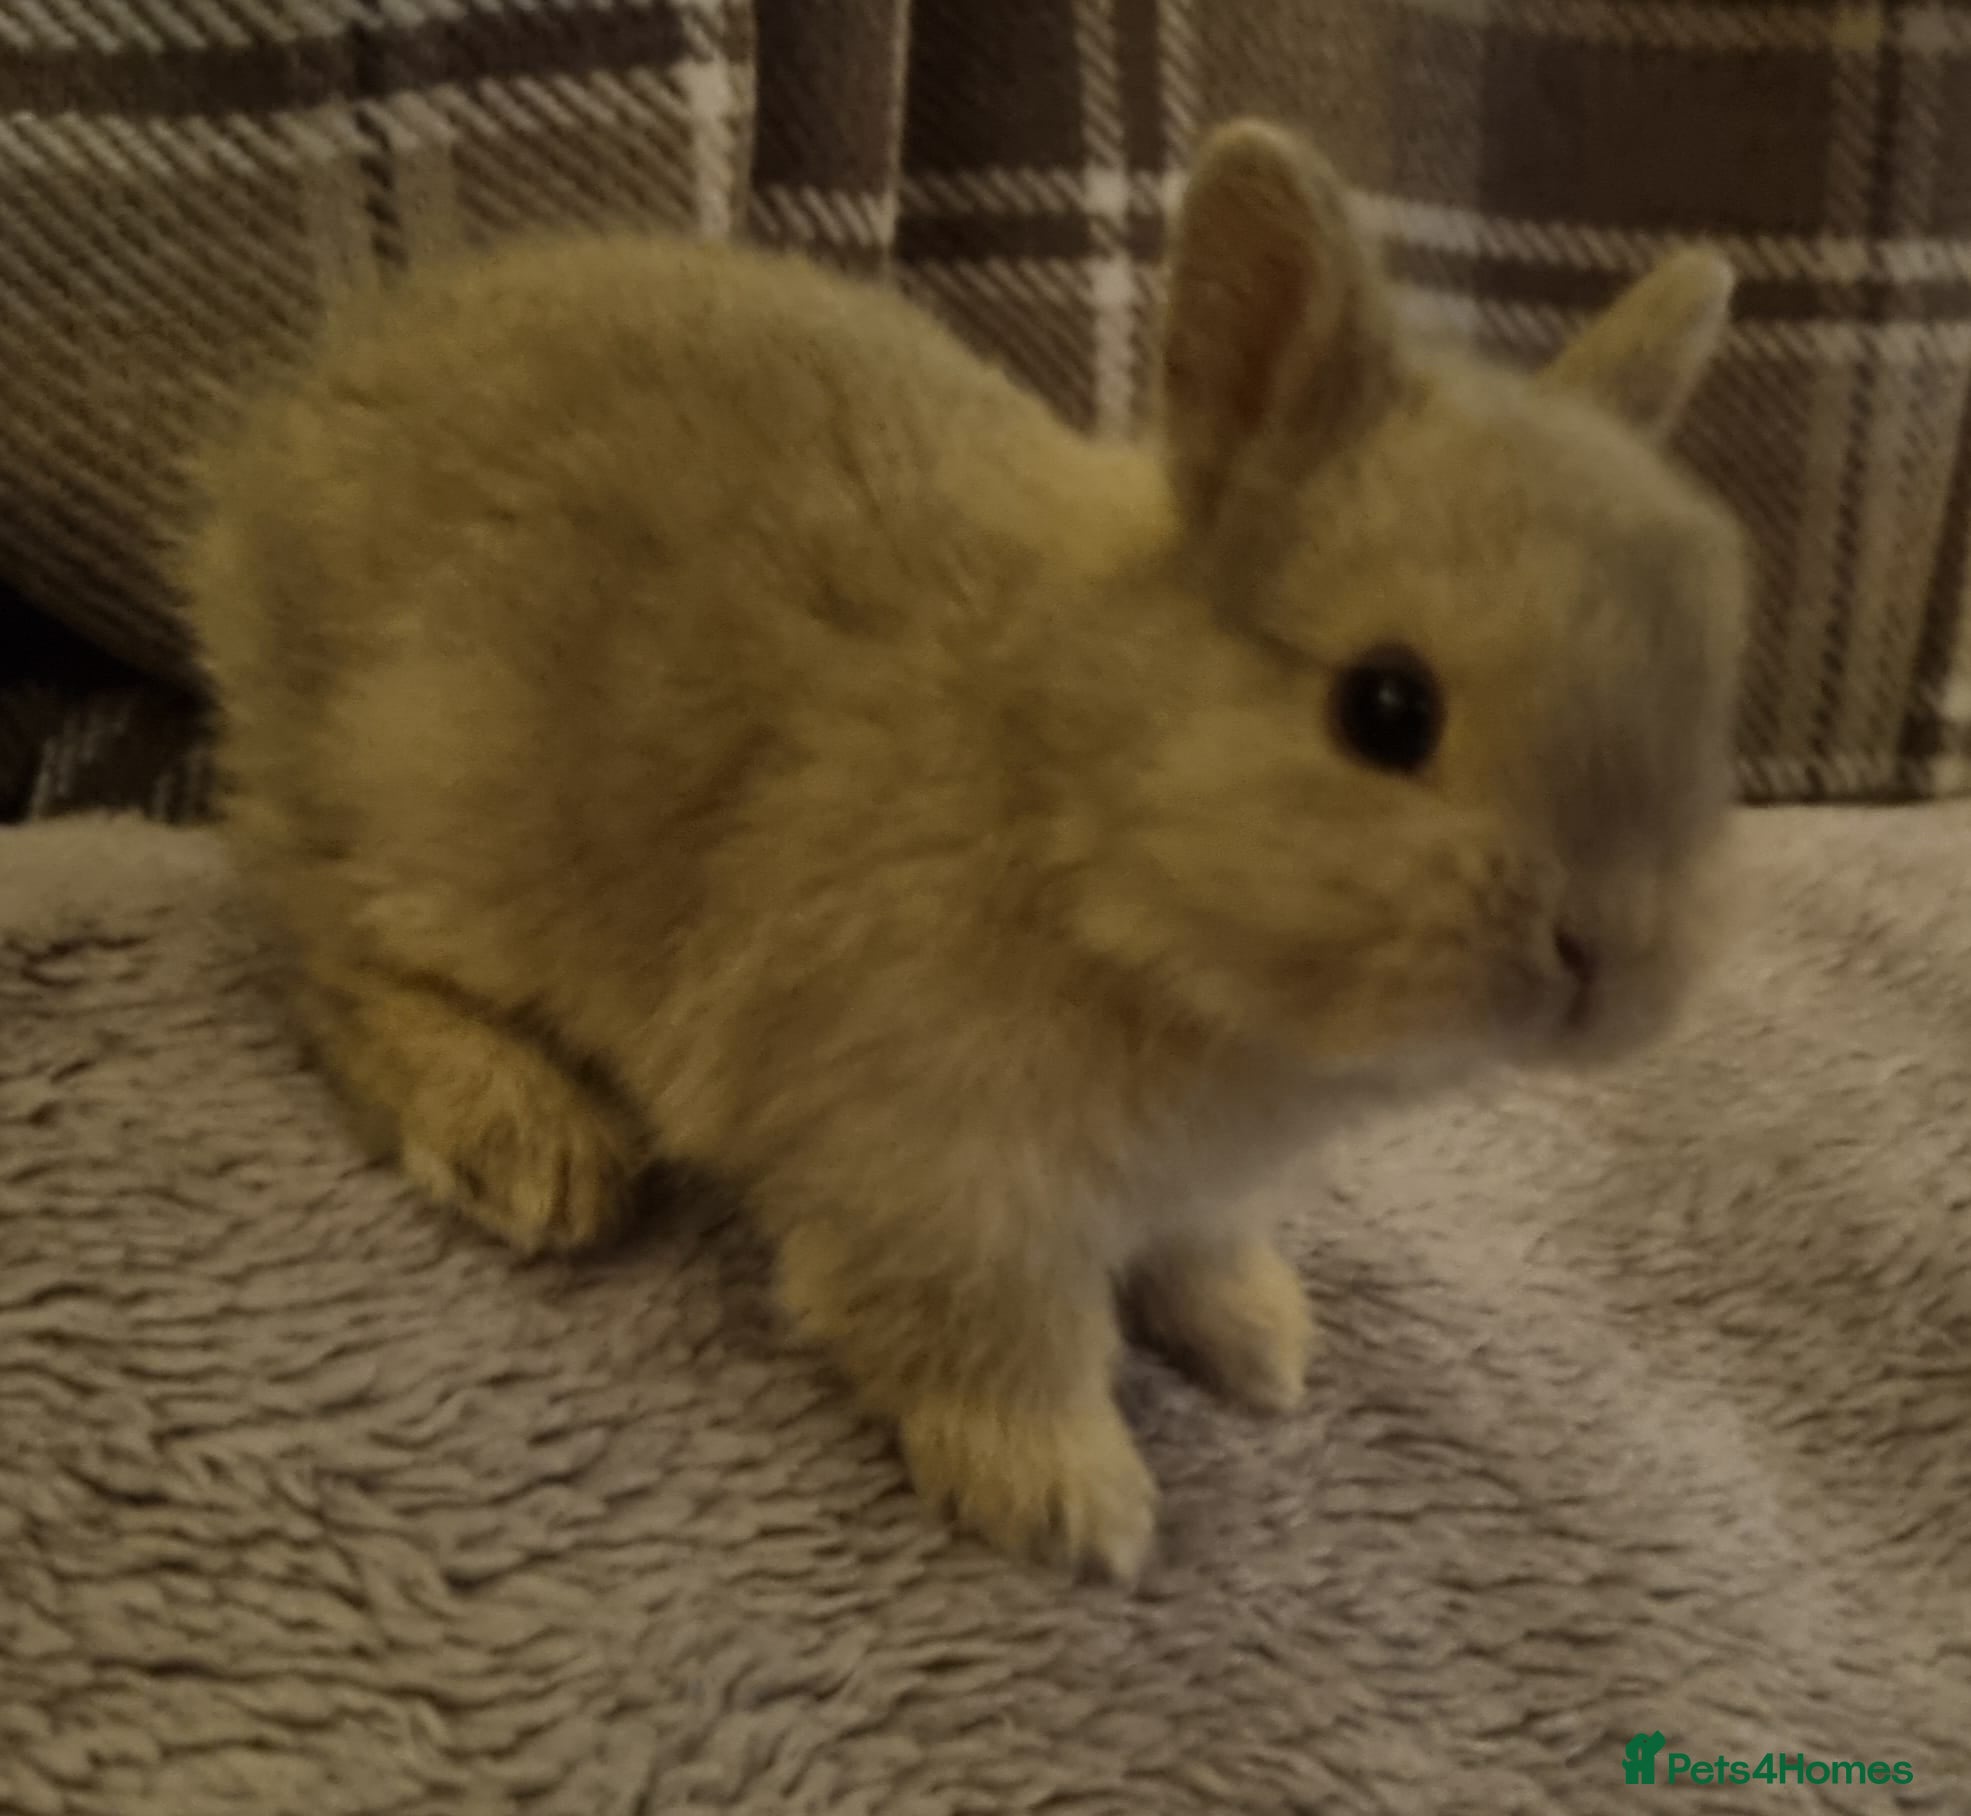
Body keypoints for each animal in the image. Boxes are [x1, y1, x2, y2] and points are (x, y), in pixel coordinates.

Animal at [183, 119, 1749, 1582]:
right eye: (1385, 707)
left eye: (1706, 706)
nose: (1610, 965)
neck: (1075, 799)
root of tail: (266, 462)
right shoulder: (942, 1181)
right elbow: (997, 1339)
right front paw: (1074, 1507)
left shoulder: (1181, 1187)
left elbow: (1198, 1249)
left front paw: (1261, 1344)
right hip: (419, 798)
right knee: (317, 953)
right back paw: (526, 1149)